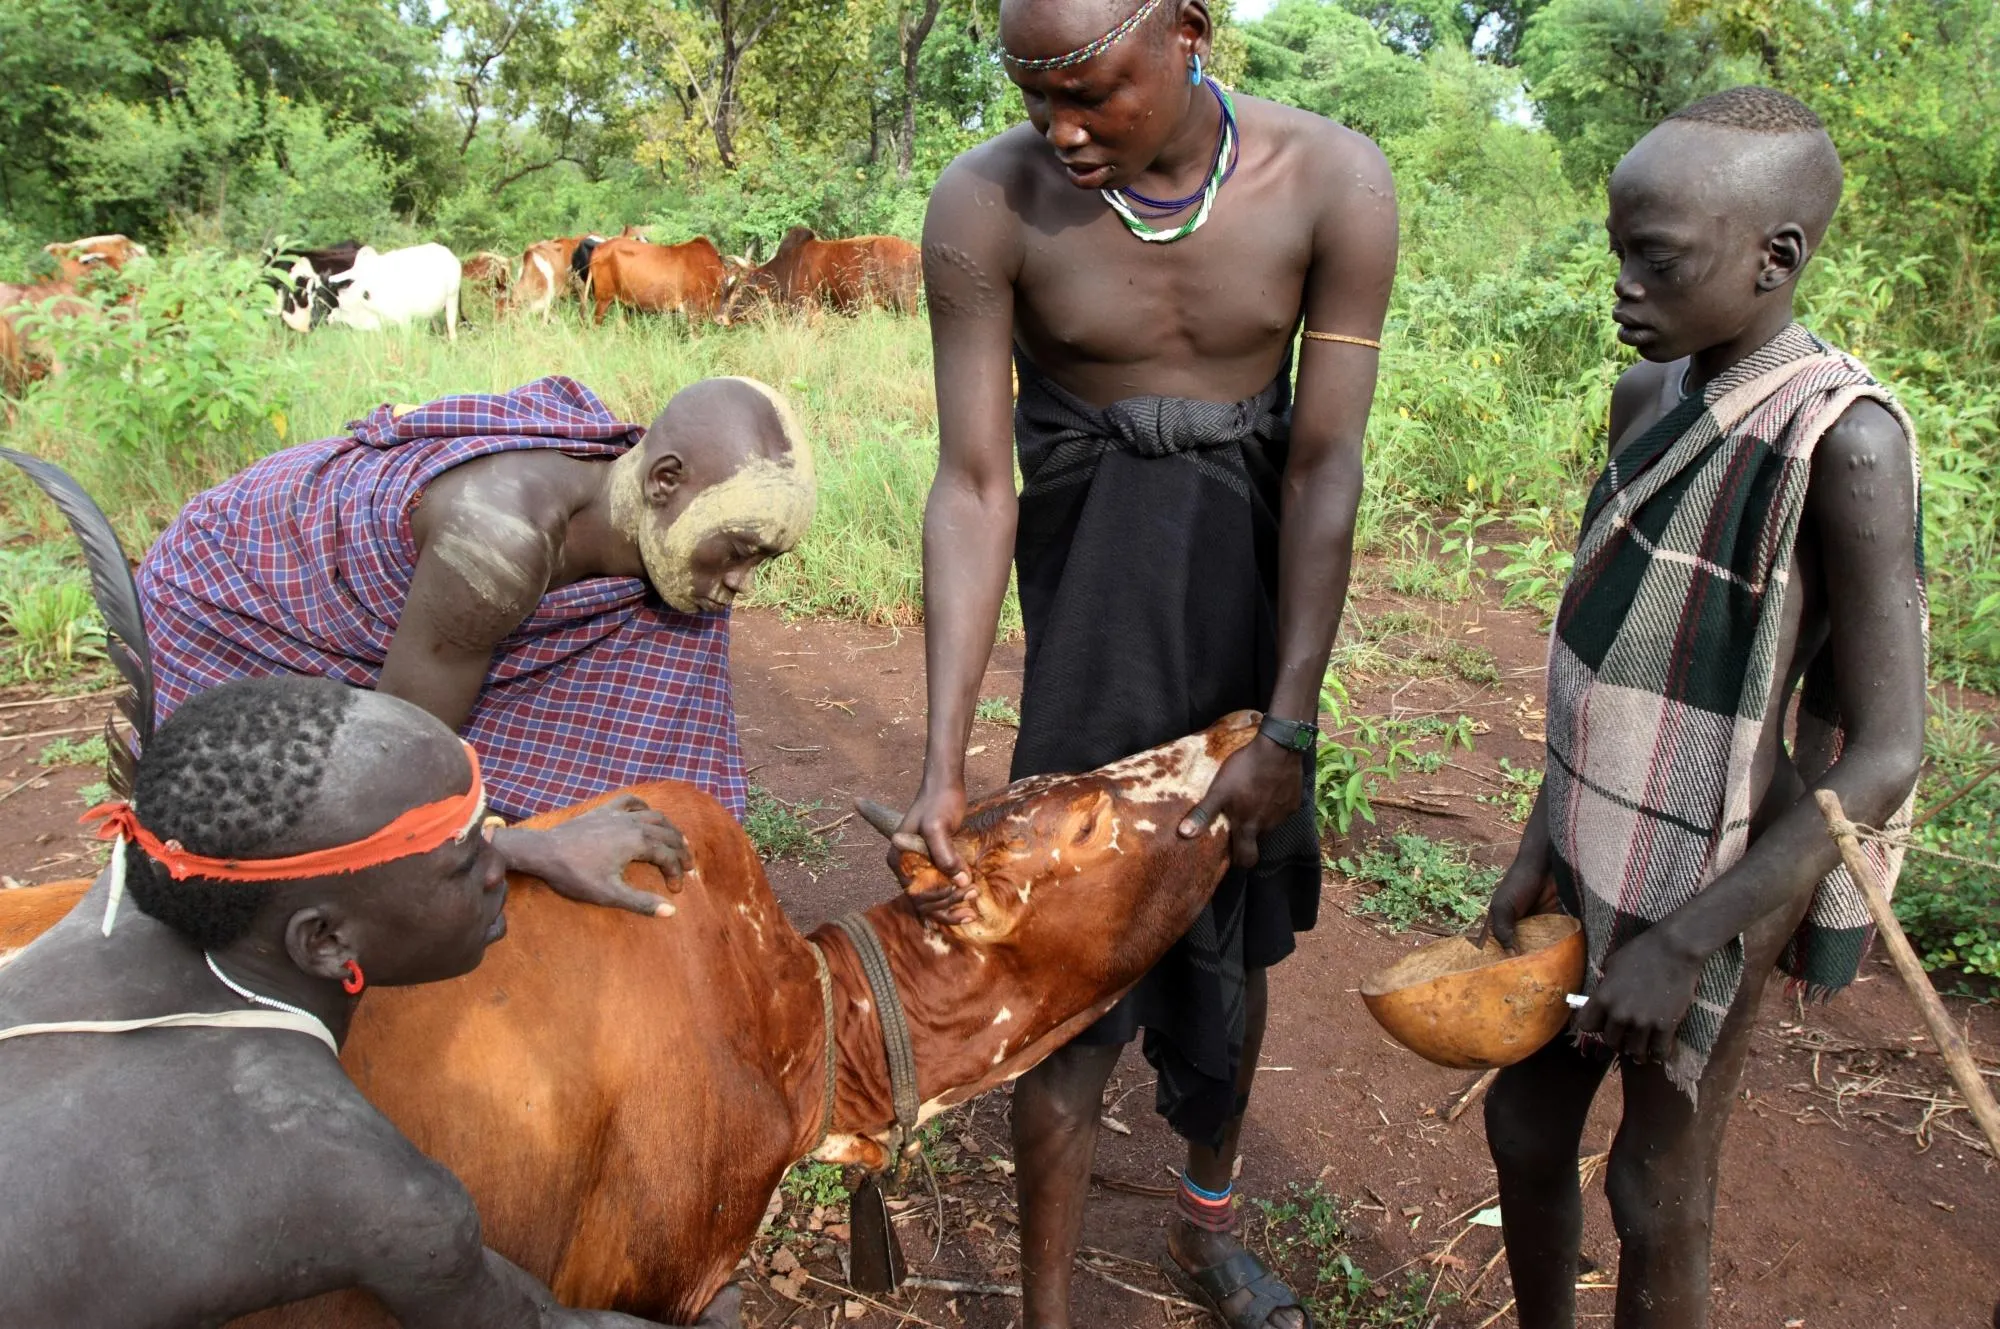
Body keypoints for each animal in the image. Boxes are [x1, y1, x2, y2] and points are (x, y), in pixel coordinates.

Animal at [278, 242, 462, 340]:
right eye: (308, 297)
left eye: (320, 298)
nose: (308, 326)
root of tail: (447, 252)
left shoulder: (404, 321)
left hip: (452, 299)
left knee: (452, 329)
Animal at [717, 227, 921, 325]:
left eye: (738, 290)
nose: (719, 318)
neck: (785, 268)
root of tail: (916, 250)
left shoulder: (810, 312)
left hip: (905, 305)